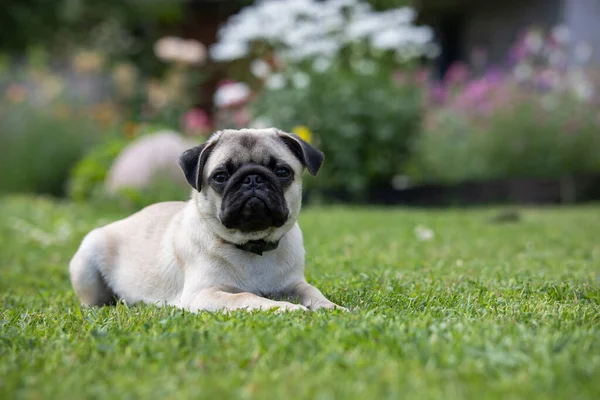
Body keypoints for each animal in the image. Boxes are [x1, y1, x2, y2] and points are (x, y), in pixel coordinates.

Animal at [67, 128, 344, 312]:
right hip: (88, 258)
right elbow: (247, 297)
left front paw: (332, 308)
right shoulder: (204, 295)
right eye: (220, 176)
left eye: (282, 171)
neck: (253, 247)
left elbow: (313, 292)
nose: (252, 178)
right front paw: (288, 309)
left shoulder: (294, 284)